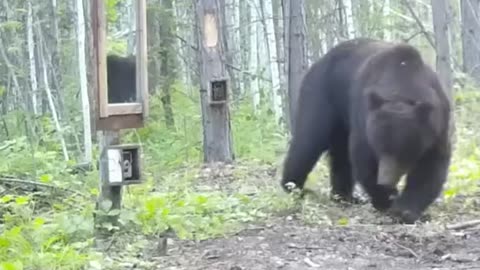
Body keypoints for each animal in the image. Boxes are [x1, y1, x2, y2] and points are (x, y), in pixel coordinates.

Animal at [280, 38, 452, 224]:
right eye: (380, 147)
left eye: (403, 150)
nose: (384, 181)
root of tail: (320, 60)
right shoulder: (364, 118)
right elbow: (364, 158)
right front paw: (386, 199)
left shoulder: (437, 125)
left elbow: (431, 166)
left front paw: (406, 210)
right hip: (322, 94)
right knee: (308, 142)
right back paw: (294, 187)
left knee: (340, 154)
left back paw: (344, 196)